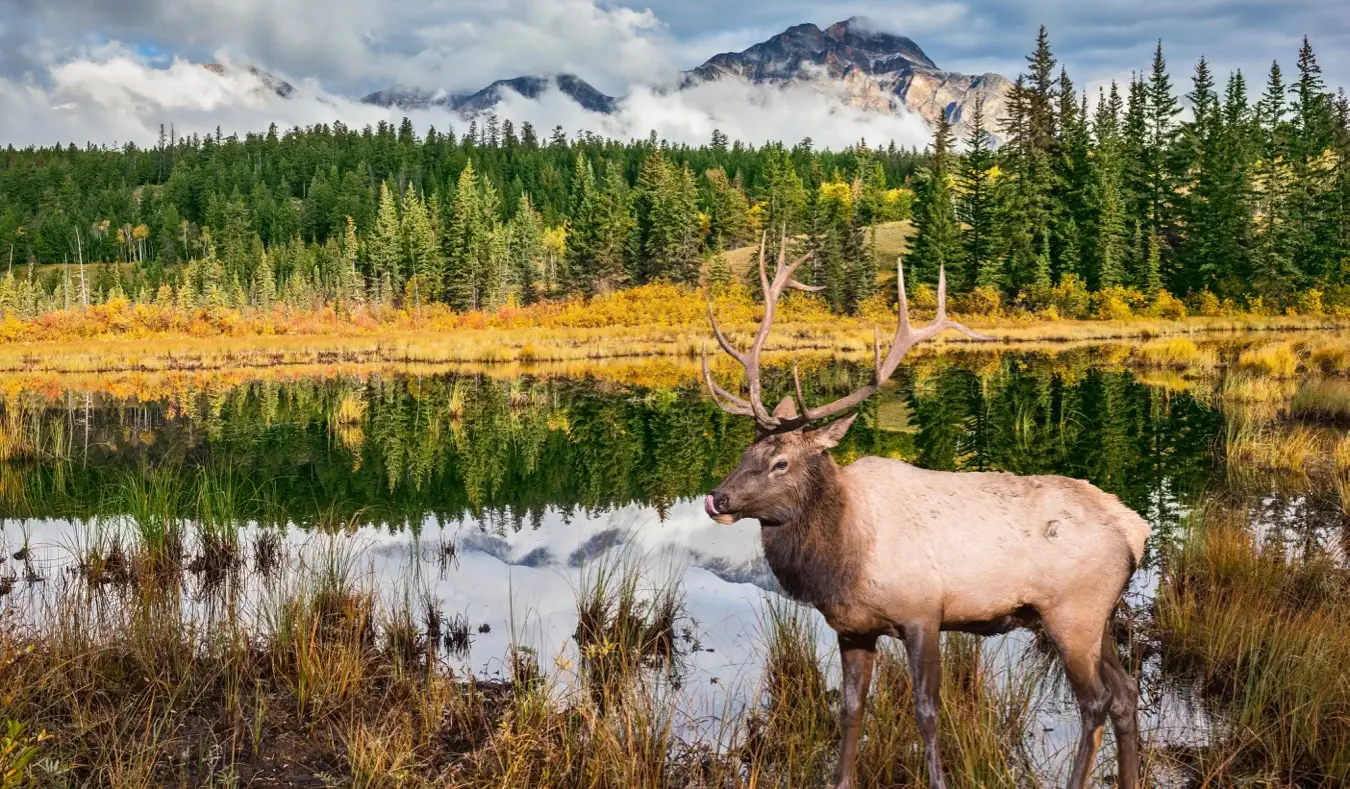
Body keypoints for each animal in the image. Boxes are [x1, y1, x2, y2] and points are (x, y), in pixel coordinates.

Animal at [702, 233, 1144, 789]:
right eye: (745, 453)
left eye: (780, 462)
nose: (717, 498)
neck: (842, 557)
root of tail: (1135, 530)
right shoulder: (852, 627)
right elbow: (851, 710)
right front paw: (841, 777)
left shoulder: (923, 612)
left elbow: (928, 712)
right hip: (1100, 614)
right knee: (1126, 692)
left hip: (1071, 611)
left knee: (1097, 701)